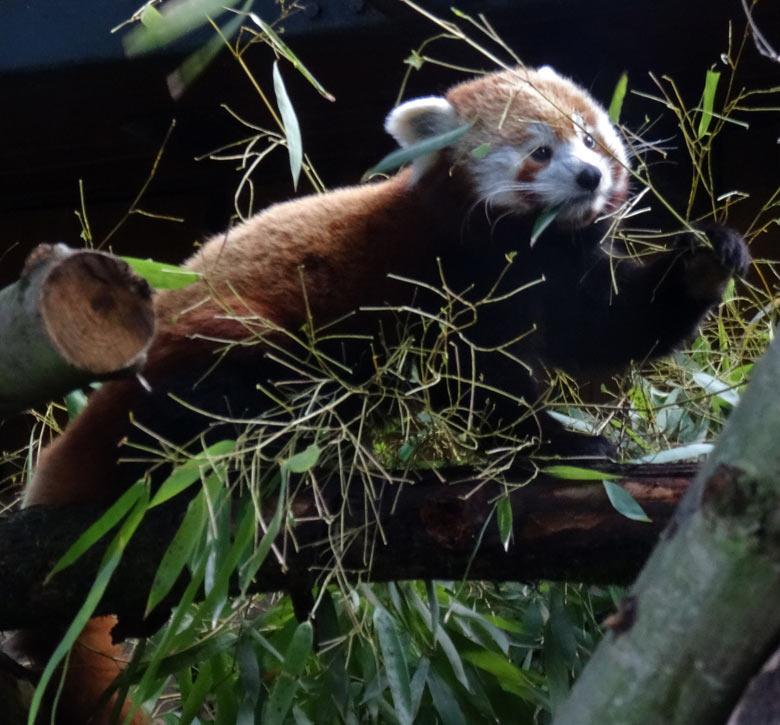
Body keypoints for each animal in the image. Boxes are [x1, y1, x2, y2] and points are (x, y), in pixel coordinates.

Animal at [18, 65, 748, 720]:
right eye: (541, 151)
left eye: (590, 138)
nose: (592, 176)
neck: (522, 247)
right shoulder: (441, 279)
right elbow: (475, 383)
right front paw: (558, 443)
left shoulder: (557, 274)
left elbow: (608, 326)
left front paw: (704, 260)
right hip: (218, 358)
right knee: (234, 407)